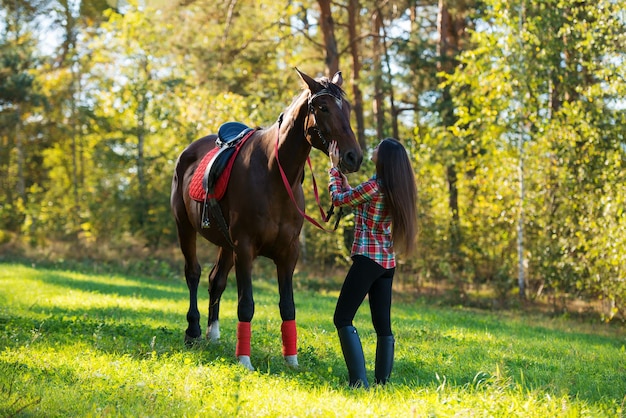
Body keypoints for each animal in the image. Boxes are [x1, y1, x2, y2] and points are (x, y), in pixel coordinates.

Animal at [169, 69, 360, 372]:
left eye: (349, 108)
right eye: (323, 108)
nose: (354, 157)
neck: (273, 174)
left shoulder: (288, 253)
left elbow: (288, 305)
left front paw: (291, 360)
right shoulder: (245, 247)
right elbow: (246, 303)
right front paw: (244, 360)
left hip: (226, 244)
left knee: (215, 280)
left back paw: (213, 335)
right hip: (185, 227)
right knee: (194, 274)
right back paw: (194, 331)